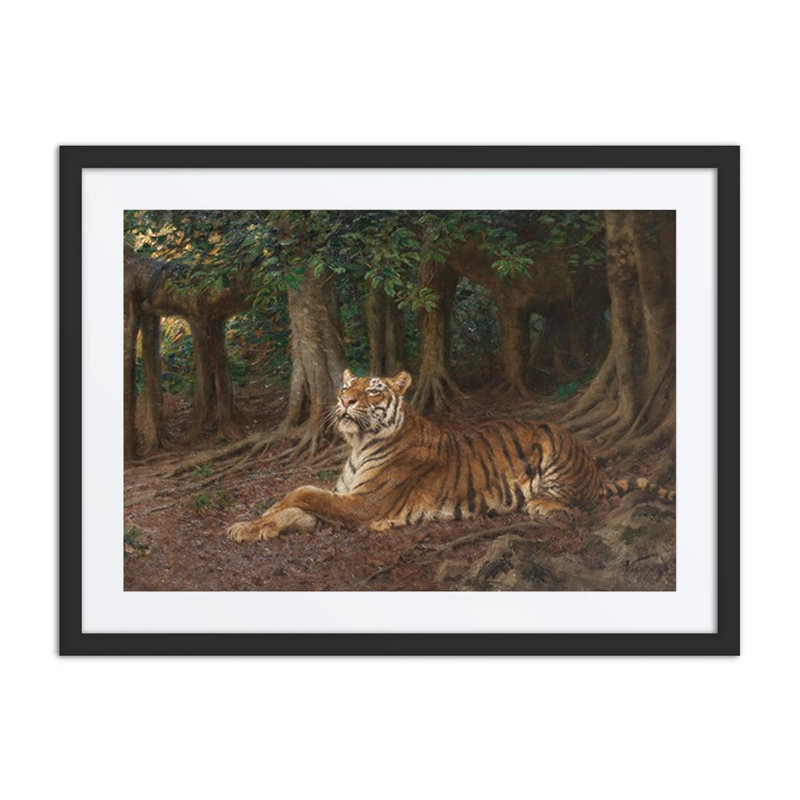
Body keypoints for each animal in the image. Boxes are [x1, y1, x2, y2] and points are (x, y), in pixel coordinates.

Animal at [226, 369, 675, 542]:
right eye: (346, 387)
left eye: (373, 390)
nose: (345, 400)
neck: (359, 444)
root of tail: (593, 465)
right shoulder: (344, 497)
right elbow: (295, 505)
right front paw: (250, 526)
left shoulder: (364, 504)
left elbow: (300, 491)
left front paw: (254, 522)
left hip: (552, 445)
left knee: (578, 501)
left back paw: (541, 504)